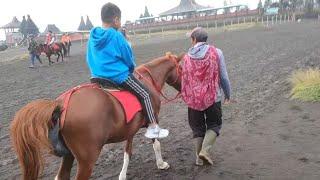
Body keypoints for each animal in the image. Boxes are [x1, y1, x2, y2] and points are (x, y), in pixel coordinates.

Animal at [10, 53, 182, 180]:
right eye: (181, 68)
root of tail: (61, 104)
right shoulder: (154, 119)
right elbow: (156, 143)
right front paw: (161, 164)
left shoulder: (130, 130)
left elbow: (127, 152)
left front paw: (123, 174)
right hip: (87, 160)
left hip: (69, 155)